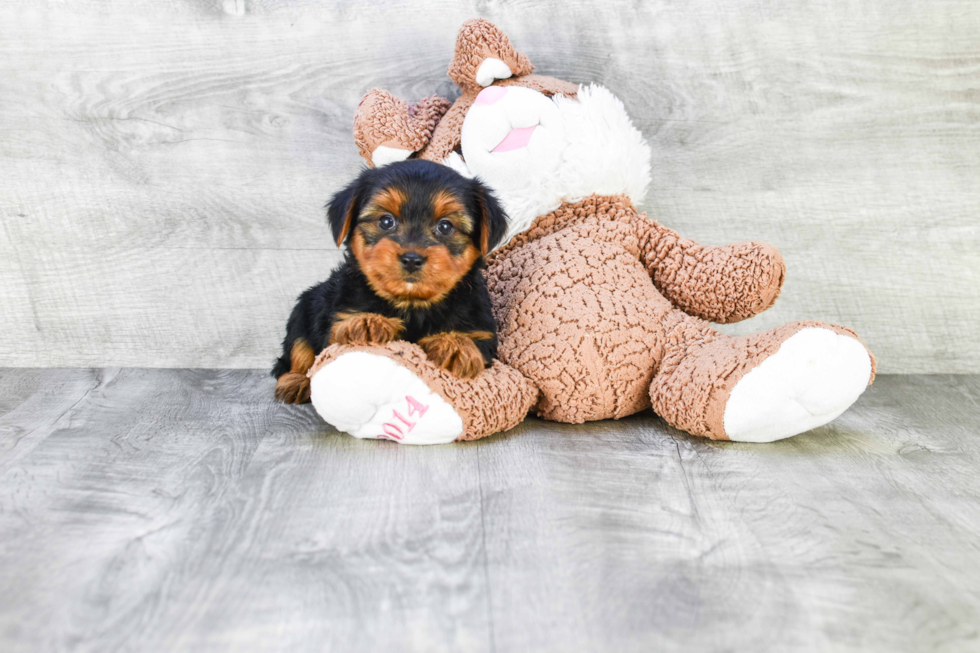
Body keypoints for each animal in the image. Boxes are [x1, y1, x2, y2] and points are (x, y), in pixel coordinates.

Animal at [274, 159, 510, 402]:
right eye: (386, 221)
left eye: (445, 226)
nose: (412, 259)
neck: (412, 302)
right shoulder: (338, 319)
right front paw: (367, 321)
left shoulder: (481, 330)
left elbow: (476, 343)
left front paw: (455, 344)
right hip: (304, 308)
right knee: (298, 348)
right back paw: (296, 381)